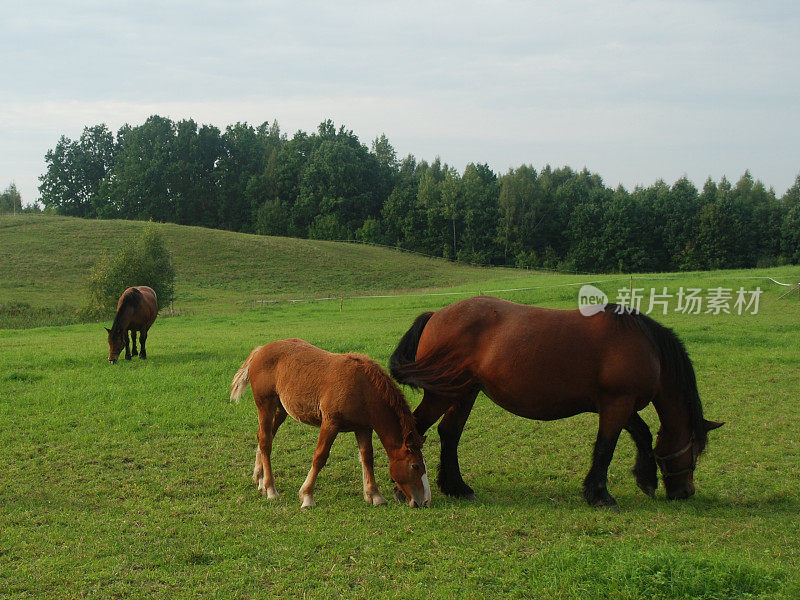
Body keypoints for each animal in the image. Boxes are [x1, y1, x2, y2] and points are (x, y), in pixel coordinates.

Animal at [230, 340, 432, 508]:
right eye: (415, 466)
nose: (424, 501)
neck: (363, 388)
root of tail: (260, 350)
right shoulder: (330, 424)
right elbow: (320, 456)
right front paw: (307, 496)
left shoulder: (363, 428)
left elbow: (367, 457)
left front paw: (374, 495)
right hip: (265, 405)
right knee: (265, 441)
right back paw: (271, 489)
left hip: (281, 410)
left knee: (265, 437)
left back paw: (260, 479)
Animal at [390, 296, 724, 510]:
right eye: (695, 452)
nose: (686, 492)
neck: (645, 345)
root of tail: (436, 315)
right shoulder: (617, 404)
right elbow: (606, 448)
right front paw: (600, 495)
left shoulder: (618, 405)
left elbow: (641, 435)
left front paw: (646, 480)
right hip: (442, 394)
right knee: (414, 431)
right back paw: (404, 488)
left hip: (464, 393)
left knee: (449, 434)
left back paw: (457, 487)